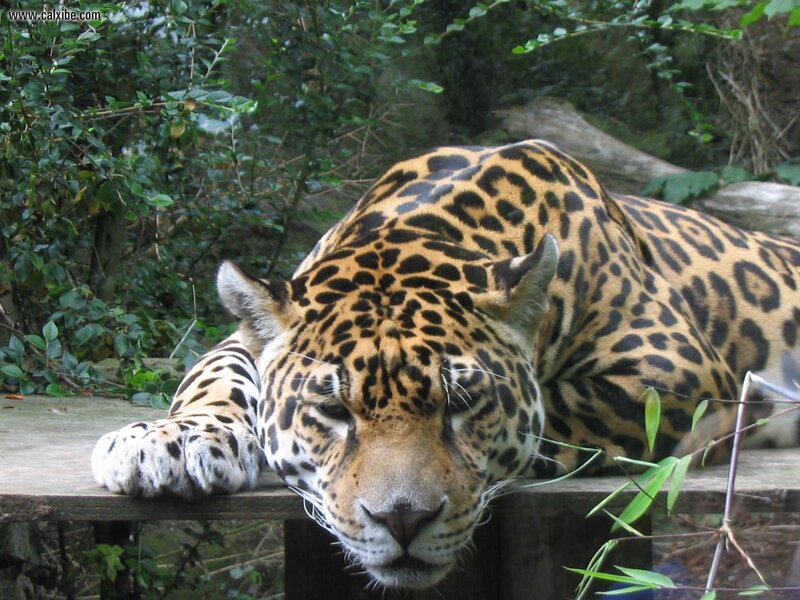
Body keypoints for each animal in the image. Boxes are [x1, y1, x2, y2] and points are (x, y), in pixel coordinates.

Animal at [92, 140, 800, 589]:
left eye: (461, 406)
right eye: (332, 410)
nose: (402, 520)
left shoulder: (674, 368)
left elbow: (549, 417)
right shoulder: (247, 337)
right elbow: (215, 376)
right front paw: (169, 442)